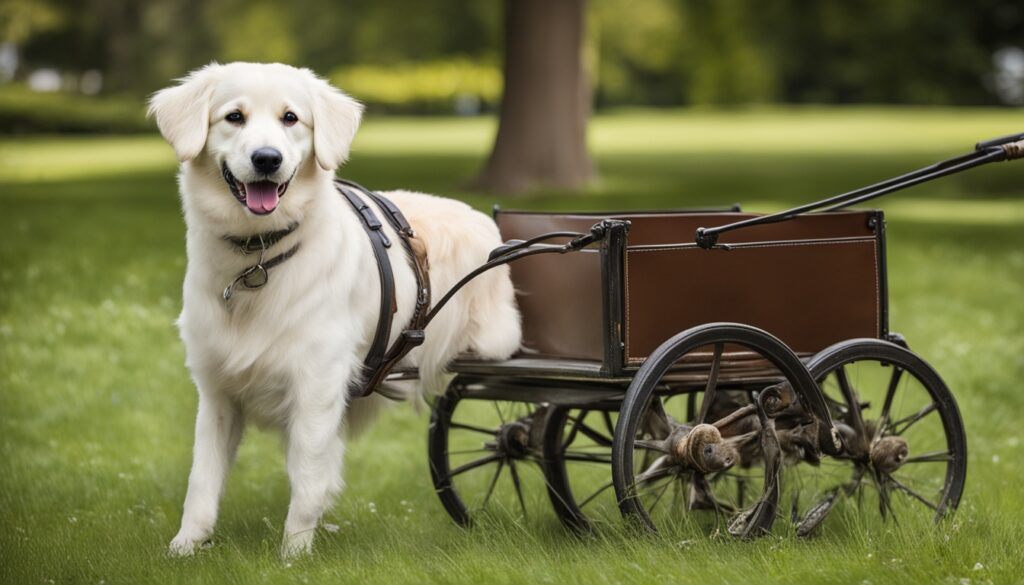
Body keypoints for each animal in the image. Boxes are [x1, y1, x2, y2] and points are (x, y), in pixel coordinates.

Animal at [146, 63, 520, 557]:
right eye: (234, 117)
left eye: (290, 118)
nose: (267, 159)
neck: (258, 259)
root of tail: (489, 224)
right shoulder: (216, 392)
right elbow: (203, 479)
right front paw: (186, 546)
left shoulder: (317, 386)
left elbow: (306, 476)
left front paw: (294, 553)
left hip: (495, 344)